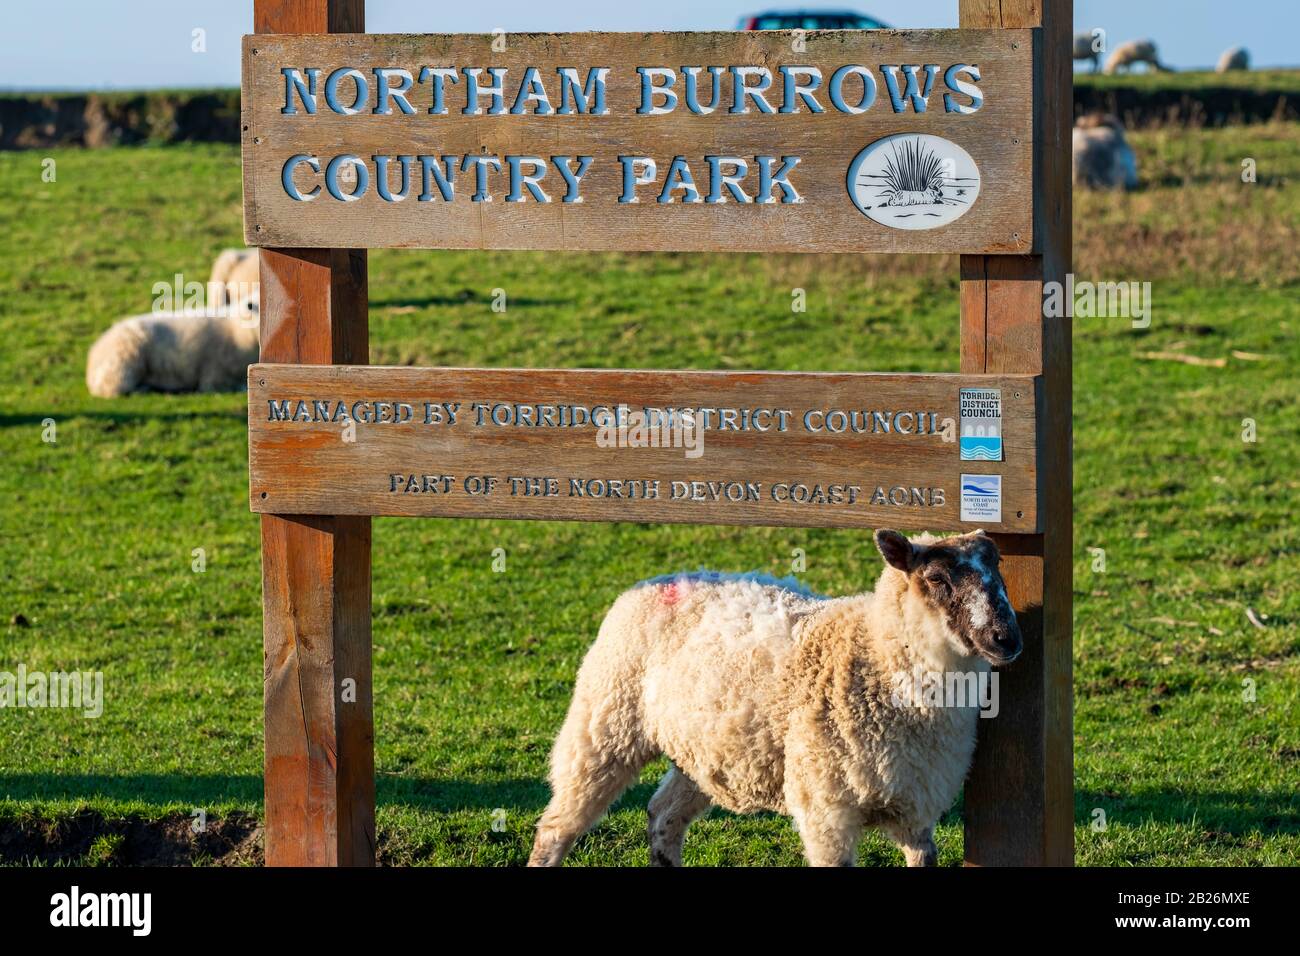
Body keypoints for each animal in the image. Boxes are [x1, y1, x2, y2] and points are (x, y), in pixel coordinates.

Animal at [522, 528, 1019, 868]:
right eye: (936, 577)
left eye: (1000, 573)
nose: (1006, 638)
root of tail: (661, 579)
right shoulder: (826, 811)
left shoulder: (916, 807)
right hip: (604, 722)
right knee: (556, 826)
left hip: (701, 751)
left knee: (663, 816)